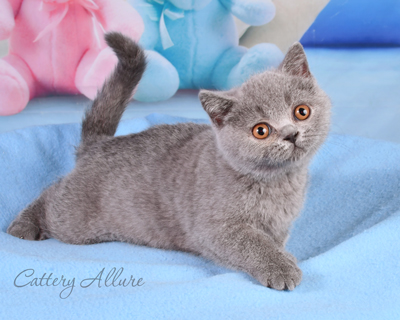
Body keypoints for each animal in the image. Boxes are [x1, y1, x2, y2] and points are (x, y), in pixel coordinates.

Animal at [7, 31, 330, 290]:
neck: (279, 183)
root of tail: (99, 144)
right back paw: (22, 226)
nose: (290, 134)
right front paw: (281, 267)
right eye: (261, 131)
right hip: (74, 221)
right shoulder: (214, 229)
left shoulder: (280, 227)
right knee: (51, 196)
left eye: (301, 111)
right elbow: (253, 244)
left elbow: (273, 240)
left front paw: (283, 256)